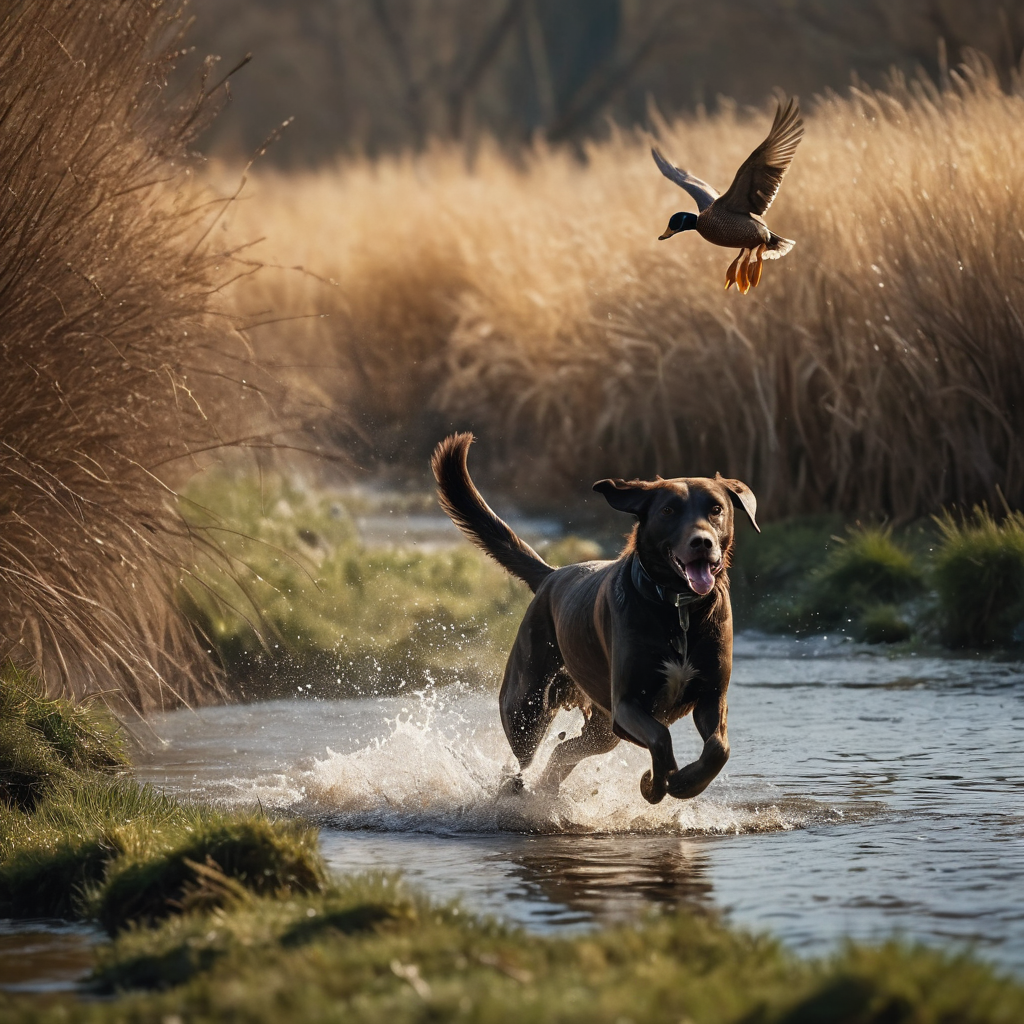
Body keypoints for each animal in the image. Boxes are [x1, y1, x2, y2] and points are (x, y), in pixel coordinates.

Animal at [428, 436, 757, 802]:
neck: (677, 606)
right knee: (522, 758)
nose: (702, 542)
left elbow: (718, 748)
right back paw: (517, 792)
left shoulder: (712, 696)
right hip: (527, 706)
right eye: (668, 511)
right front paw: (655, 784)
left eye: (716, 509)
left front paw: (685, 782)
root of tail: (551, 575)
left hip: (600, 728)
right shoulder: (626, 704)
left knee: (563, 752)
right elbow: (661, 738)